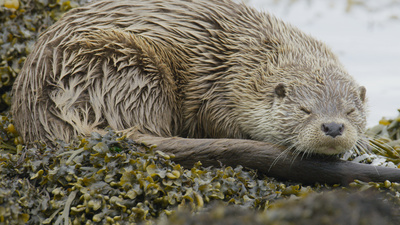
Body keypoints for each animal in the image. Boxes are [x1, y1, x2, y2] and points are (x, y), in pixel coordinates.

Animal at [11, 0, 400, 185]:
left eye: (350, 111)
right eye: (304, 110)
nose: (333, 127)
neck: (242, 64)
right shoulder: (216, 94)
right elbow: (218, 124)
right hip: (126, 66)